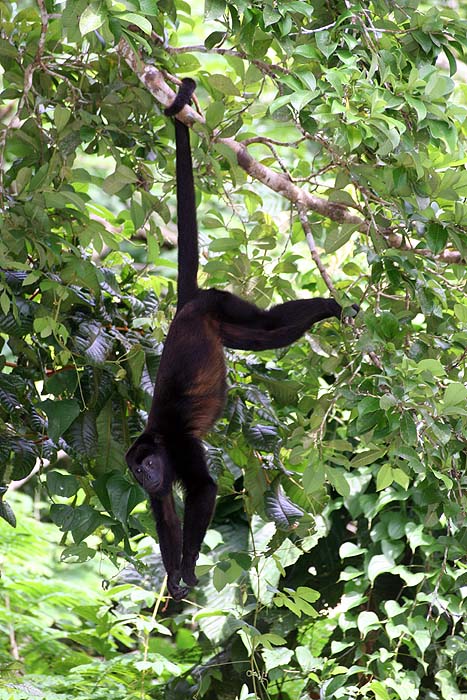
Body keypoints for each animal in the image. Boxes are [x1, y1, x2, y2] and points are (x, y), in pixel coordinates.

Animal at [127, 78, 354, 600]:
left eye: (145, 465)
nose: (144, 479)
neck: (158, 444)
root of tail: (186, 306)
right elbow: (165, 515)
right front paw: (173, 580)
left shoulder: (181, 447)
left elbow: (205, 491)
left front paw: (189, 569)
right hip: (221, 322)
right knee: (257, 337)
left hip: (221, 302)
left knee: (270, 330)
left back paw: (329, 307)